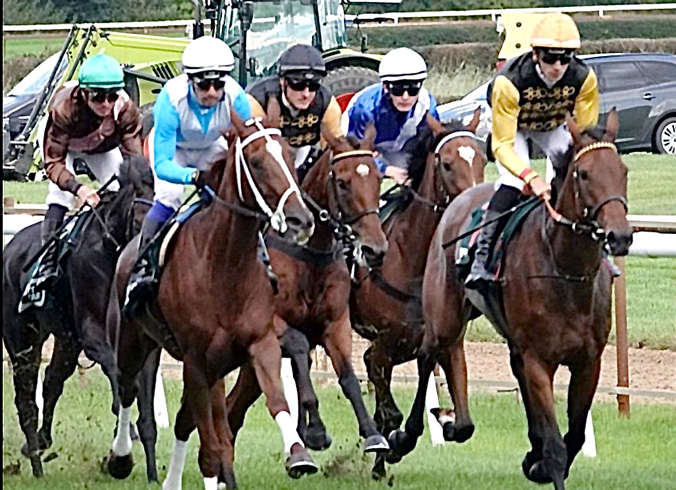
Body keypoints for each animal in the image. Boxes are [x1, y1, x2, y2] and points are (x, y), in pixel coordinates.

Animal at [2, 155, 153, 476]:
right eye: (137, 220)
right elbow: (116, 370)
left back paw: (41, 442)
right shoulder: (93, 335)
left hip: (65, 339)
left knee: (52, 380)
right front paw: (124, 446)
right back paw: (36, 462)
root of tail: (10, 250)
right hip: (22, 340)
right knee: (25, 397)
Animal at [105, 112, 316, 490]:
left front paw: (299, 452)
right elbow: (211, 449)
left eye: (291, 157)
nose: (301, 220)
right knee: (127, 390)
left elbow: (276, 402)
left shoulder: (258, 342)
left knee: (185, 421)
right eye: (257, 163)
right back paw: (121, 457)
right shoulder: (196, 361)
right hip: (133, 341)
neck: (225, 265)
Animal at [224, 126, 388, 456]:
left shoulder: (336, 324)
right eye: (342, 182)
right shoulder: (274, 324)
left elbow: (348, 377)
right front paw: (315, 430)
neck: (311, 254)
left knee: (232, 410)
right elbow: (300, 349)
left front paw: (373, 433)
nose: (375, 250)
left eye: (378, 178)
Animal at [348, 109, 486, 476]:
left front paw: (444, 422)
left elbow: (464, 424)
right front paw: (394, 443)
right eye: (447, 163)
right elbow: (390, 412)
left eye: (483, 158)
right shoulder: (383, 346)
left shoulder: (446, 341)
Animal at [386, 111, 632, 490]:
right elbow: (558, 447)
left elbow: (573, 437)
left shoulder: (589, 361)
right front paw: (544, 460)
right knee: (429, 354)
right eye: (584, 174)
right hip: (444, 314)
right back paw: (410, 435)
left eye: (623, 171)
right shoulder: (539, 360)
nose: (620, 236)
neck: (565, 271)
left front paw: (536, 460)